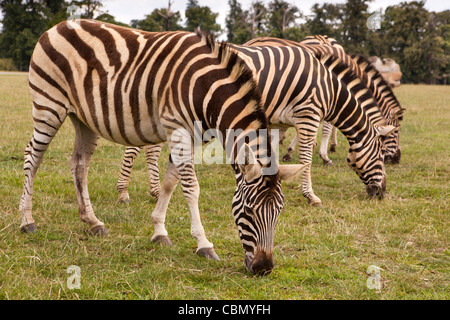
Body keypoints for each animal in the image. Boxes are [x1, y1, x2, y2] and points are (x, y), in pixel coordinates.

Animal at [19, 20, 306, 276]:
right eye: (248, 211)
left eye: (279, 211)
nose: (263, 268)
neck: (206, 91)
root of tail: (57, 26)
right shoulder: (177, 130)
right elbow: (192, 188)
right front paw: (204, 244)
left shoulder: (191, 138)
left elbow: (170, 183)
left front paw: (159, 232)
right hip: (49, 105)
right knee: (33, 157)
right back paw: (27, 220)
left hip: (83, 118)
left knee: (79, 164)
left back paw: (92, 221)